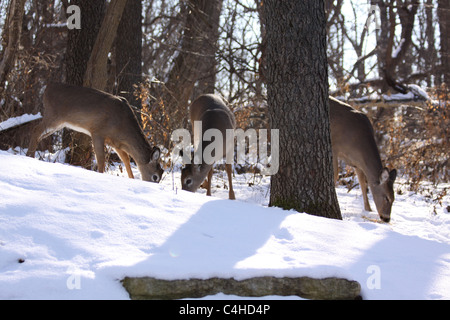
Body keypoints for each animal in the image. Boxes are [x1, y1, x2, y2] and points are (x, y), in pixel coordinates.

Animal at [26, 82, 163, 182]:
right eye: (155, 177)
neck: (122, 125)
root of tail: (47, 89)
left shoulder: (115, 142)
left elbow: (125, 159)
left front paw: (132, 178)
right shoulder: (97, 132)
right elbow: (101, 159)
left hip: (59, 123)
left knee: (39, 135)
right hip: (53, 116)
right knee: (36, 129)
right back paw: (29, 156)